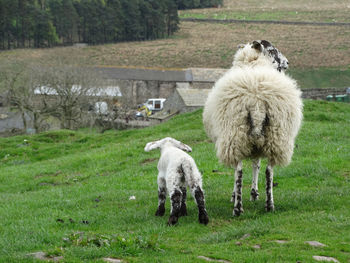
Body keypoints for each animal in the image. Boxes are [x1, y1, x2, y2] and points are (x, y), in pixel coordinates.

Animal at [202, 39, 304, 217]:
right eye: (273, 50)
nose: (287, 62)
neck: (253, 63)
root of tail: (256, 102)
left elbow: (254, 165)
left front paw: (251, 193)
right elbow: (256, 165)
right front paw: (253, 193)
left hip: (237, 135)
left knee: (240, 170)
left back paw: (239, 207)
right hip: (273, 136)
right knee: (267, 171)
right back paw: (266, 205)